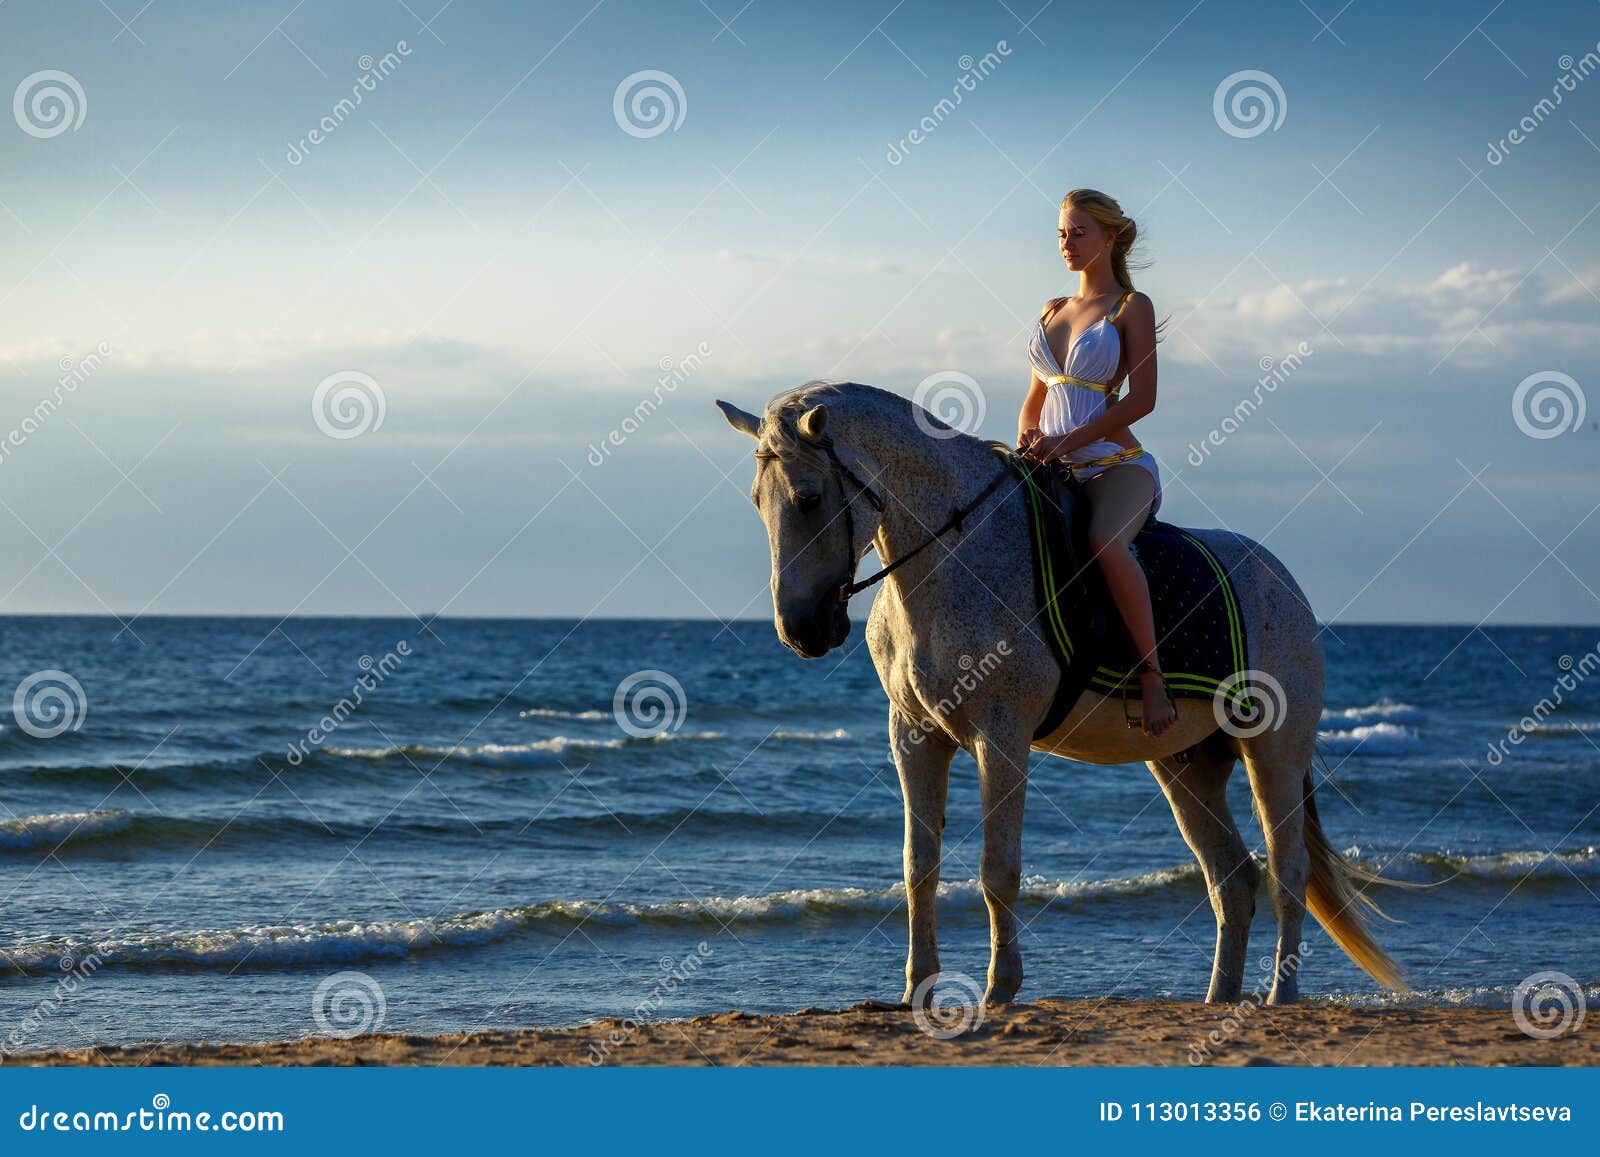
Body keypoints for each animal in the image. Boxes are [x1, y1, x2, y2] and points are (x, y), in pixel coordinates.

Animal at [720, 384, 1408, 1011]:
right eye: (756, 501)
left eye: (808, 499)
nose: (802, 630)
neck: (954, 554)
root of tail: (1285, 586)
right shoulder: (914, 736)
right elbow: (919, 867)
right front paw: (918, 988)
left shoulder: (1000, 737)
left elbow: (998, 871)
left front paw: (1000, 987)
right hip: (1186, 766)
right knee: (1232, 880)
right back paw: (1218, 999)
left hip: (1273, 753)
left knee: (1287, 873)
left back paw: (1278, 998)